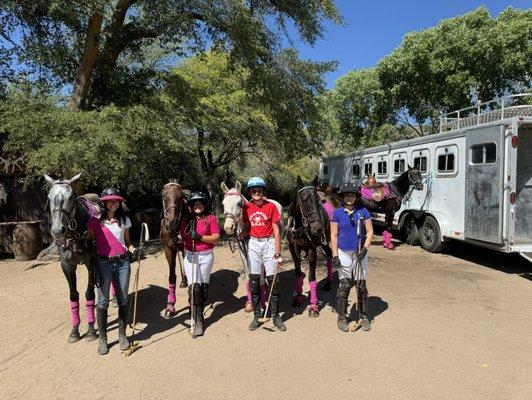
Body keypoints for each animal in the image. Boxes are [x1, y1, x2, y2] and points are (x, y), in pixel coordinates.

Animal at [44, 173, 100, 342]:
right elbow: (73, 296)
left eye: (71, 196)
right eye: (49, 197)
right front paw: (75, 331)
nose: (57, 230)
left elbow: (89, 293)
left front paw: (90, 330)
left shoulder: (91, 262)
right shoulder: (67, 266)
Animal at [219, 180, 284, 312]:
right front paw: (249, 303)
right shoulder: (244, 254)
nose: (228, 227)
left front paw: (263, 304)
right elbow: (249, 276)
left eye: (239, 203)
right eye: (223, 203)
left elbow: (260, 278)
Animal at [286, 177, 332, 318]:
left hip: (326, 241)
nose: (317, 228)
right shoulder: (293, 249)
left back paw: (328, 283)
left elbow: (312, 278)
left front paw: (313, 307)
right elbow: (298, 274)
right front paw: (298, 298)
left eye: (318, 200)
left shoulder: (312, 249)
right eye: (304, 199)